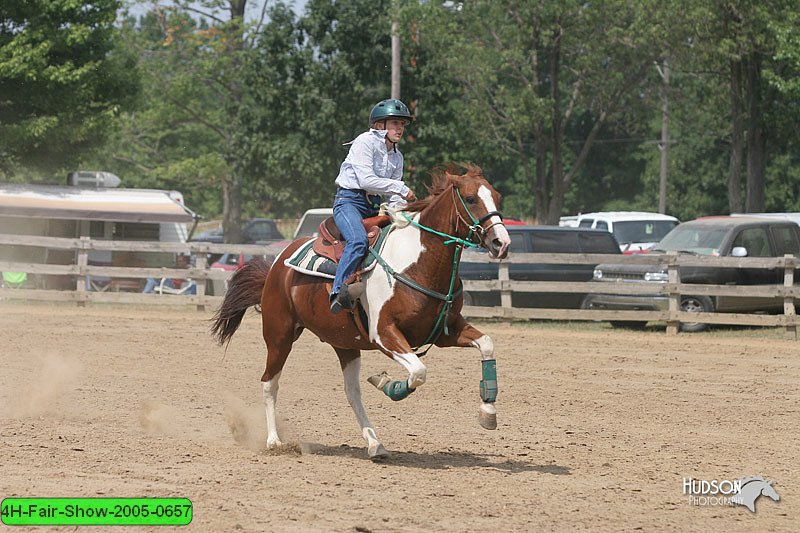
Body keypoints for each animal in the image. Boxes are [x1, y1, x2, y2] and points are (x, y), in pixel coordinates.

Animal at [211, 164, 512, 460]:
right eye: (471, 199)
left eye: (497, 197)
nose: (501, 243)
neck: (417, 264)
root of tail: (277, 264)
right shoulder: (384, 334)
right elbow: (418, 372)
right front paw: (388, 384)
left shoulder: (445, 332)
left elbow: (487, 344)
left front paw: (488, 412)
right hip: (279, 335)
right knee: (269, 383)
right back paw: (274, 441)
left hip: (344, 344)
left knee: (352, 393)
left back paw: (375, 444)